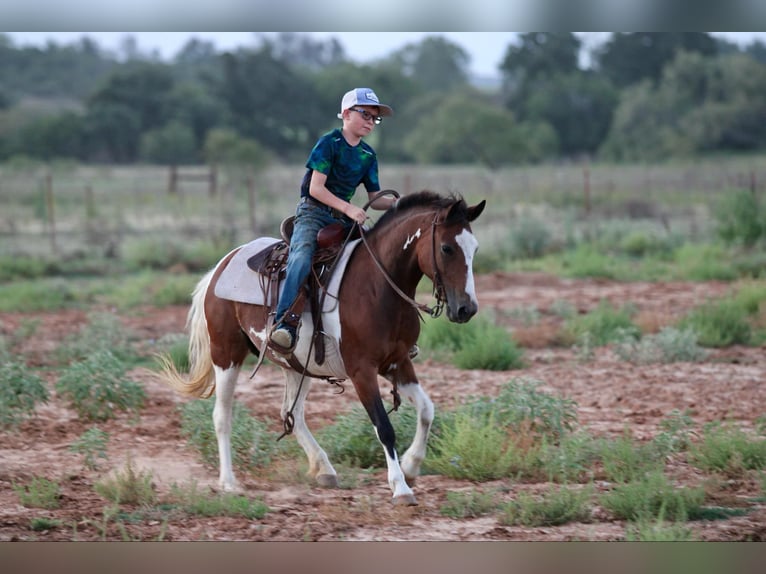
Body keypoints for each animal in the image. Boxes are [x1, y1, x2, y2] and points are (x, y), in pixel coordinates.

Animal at [160, 190, 486, 506]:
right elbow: (384, 426)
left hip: (296, 364)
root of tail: (223, 264)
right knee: (222, 416)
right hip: (226, 354)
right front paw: (400, 487)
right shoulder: (362, 370)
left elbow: (427, 410)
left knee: (291, 414)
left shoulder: (398, 362)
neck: (377, 285)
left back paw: (324, 468)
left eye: (475, 248)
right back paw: (229, 481)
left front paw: (411, 465)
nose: (467, 309)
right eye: (446, 248)